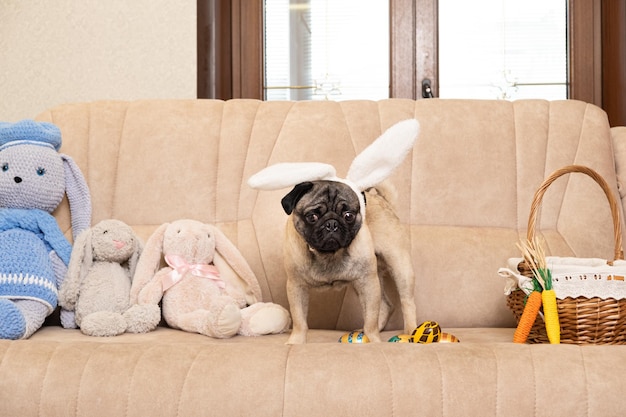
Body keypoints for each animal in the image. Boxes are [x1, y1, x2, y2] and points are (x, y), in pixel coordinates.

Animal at [278, 178, 414, 342]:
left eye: (348, 215)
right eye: (312, 216)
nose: (332, 223)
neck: (328, 255)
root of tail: (383, 200)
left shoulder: (368, 283)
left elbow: (370, 319)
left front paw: (373, 340)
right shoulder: (296, 286)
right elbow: (299, 320)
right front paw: (296, 341)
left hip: (399, 267)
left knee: (406, 302)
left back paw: (411, 331)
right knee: (386, 306)